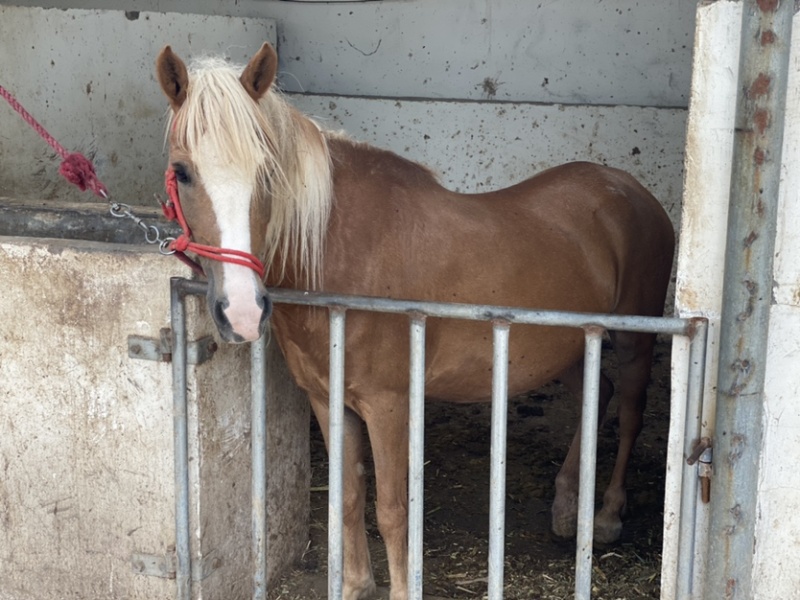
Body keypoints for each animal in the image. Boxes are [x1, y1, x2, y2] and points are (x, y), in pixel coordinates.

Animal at [156, 42, 674, 600]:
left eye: (268, 172)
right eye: (182, 172)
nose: (244, 312)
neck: (341, 256)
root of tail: (630, 189)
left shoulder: (388, 406)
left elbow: (391, 510)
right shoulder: (327, 399)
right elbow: (347, 496)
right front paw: (355, 585)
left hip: (634, 340)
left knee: (630, 410)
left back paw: (607, 516)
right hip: (572, 343)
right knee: (594, 396)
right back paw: (565, 508)